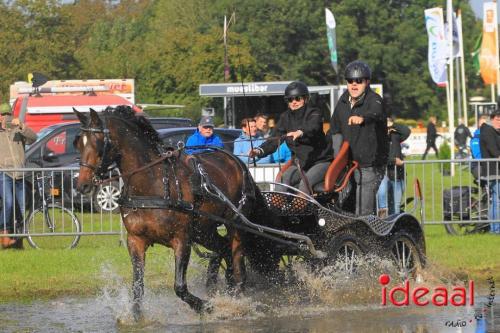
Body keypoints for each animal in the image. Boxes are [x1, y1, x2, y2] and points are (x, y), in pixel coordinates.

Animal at [73, 105, 278, 316]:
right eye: (79, 143)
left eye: (97, 142)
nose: (82, 185)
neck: (152, 184)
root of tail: (238, 163)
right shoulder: (135, 240)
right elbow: (137, 288)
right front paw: (137, 317)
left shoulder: (182, 239)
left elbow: (180, 287)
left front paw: (205, 306)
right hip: (203, 230)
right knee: (223, 249)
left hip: (234, 224)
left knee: (238, 264)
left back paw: (236, 297)